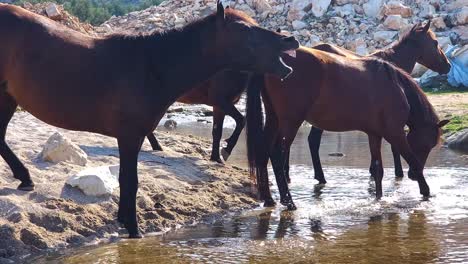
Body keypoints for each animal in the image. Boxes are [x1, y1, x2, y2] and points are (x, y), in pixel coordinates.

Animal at [247, 46, 448, 209]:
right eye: (427, 145)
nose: (412, 176)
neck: (396, 87)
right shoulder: (395, 134)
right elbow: (412, 160)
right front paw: (426, 191)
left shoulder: (375, 134)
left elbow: (378, 169)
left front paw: (378, 199)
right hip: (290, 122)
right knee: (277, 155)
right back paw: (288, 201)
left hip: (274, 119)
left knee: (264, 151)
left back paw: (269, 199)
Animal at [280, 20, 452, 184]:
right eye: (435, 43)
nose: (448, 66)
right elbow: (394, 148)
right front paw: (397, 173)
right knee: (310, 141)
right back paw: (315, 177)